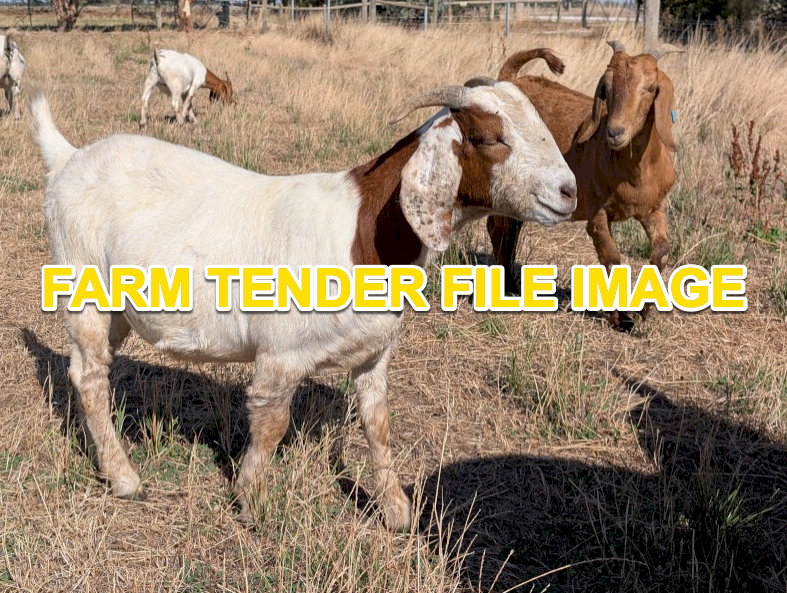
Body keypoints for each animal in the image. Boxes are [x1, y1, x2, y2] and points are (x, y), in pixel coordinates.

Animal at [31, 84, 576, 530]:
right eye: (489, 138)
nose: (568, 192)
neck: (363, 234)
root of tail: (69, 157)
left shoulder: (375, 354)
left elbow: (378, 423)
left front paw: (396, 510)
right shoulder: (281, 354)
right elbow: (271, 424)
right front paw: (252, 501)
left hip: (117, 310)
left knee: (88, 368)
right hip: (81, 284)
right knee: (90, 375)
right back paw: (123, 476)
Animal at [485, 42, 682, 328]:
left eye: (650, 88)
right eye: (606, 88)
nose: (615, 132)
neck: (632, 174)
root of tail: (509, 80)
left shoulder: (654, 208)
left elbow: (662, 251)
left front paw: (645, 309)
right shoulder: (596, 212)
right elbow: (611, 257)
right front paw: (619, 318)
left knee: (511, 225)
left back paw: (513, 281)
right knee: (497, 226)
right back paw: (507, 286)